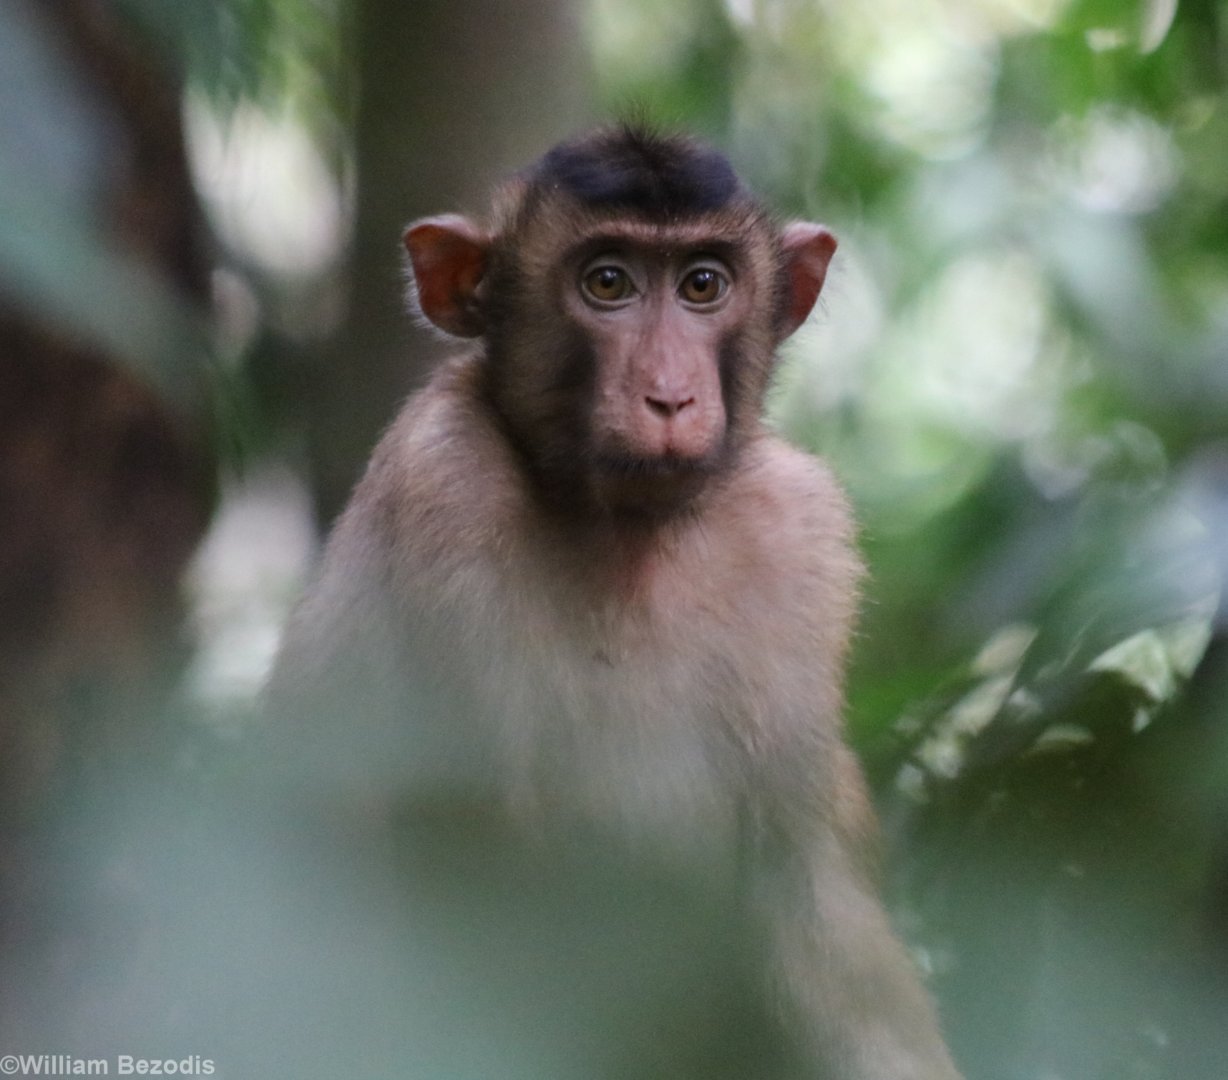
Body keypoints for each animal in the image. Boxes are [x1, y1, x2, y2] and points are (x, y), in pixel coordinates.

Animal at [265, 125, 962, 1080]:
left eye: (703, 285)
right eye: (607, 283)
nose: (669, 396)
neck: (627, 533)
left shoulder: (799, 530)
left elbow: (815, 903)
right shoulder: (443, 482)